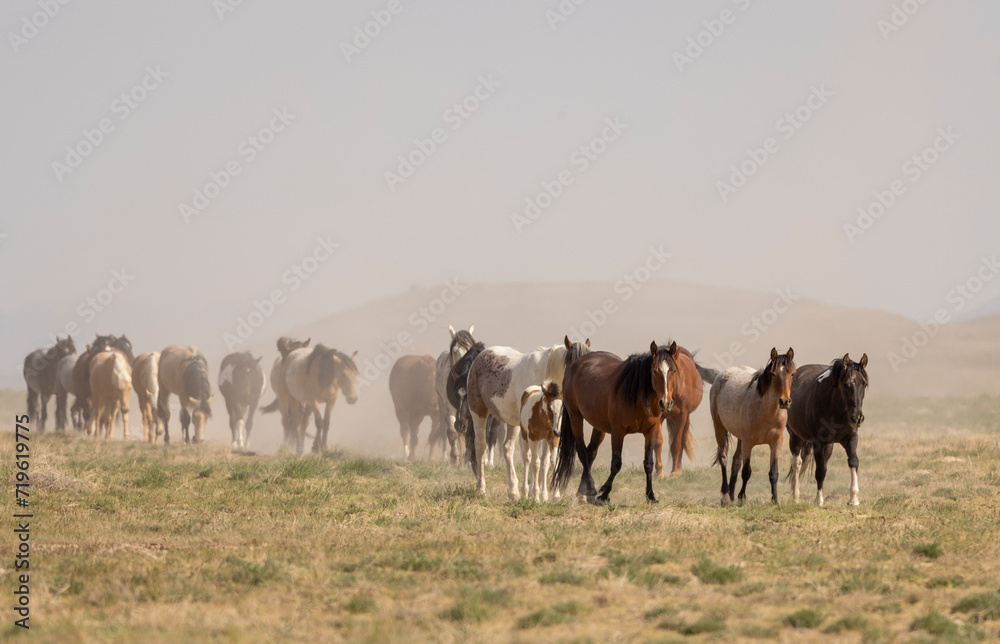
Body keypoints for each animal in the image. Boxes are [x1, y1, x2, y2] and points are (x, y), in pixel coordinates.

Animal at [466, 336, 590, 500]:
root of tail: (481, 356)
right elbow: (532, 458)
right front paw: (533, 491)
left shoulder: (549, 429)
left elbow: (546, 460)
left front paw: (545, 493)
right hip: (479, 413)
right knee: (481, 447)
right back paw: (481, 488)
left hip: (513, 423)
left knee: (507, 449)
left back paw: (513, 490)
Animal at [552, 341, 677, 505]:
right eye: (655, 371)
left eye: (673, 370)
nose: (666, 403)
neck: (637, 395)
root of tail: (577, 363)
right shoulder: (618, 432)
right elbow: (616, 463)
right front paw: (604, 493)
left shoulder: (651, 430)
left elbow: (648, 463)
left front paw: (651, 495)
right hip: (576, 417)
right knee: (582, 451)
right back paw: (590, 488)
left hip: (599, 426)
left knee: (591, 452)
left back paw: (582, 492)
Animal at [656, 344, 706, 478]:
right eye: (654, 371)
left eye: (674, 370)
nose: (665, 402)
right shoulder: (659, 417)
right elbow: (658, 442)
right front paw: (659, 472)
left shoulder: (682, 416)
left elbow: (677, 445)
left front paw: (674, 472)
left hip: (686, 418)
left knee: (682, 440)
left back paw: (678, 468)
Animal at [708, 347, 796, 505]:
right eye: (773, 374)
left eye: (792, 373)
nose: (785, 401)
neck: (766, 412)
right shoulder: (748, 442)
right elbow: (746, 472)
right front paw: (742, 497)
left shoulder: (776, 443)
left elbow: (773, 473)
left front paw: (775, 500)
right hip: (719, 426)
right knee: (723, 457)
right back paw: (725, 495)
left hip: (740, 438)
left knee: (735, 461)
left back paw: (731, 495)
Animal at [787, 353, 869, 506]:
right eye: (846, 384)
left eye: (864, 384)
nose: (857, 418)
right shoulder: (819, 442)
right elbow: (820, 471)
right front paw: (819, 500)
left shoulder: (851, 438)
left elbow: (853, 462)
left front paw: (853, 499)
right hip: (795, 437)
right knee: (797, 463)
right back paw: (795, 496)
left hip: (829, 446)